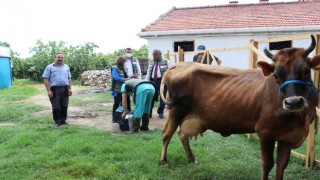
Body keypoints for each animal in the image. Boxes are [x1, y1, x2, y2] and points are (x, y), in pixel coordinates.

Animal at [159, 35, 320, 180]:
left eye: (306, 70)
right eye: (276, 75)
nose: (293, 102)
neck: (300, 119)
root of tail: (180, 65)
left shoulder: (286, 138)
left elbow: (281, 166)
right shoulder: (265, 132)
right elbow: (267, 164)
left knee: (182, 134)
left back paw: (192, 159)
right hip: (176, 111)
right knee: (167, 133)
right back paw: (163, 161)